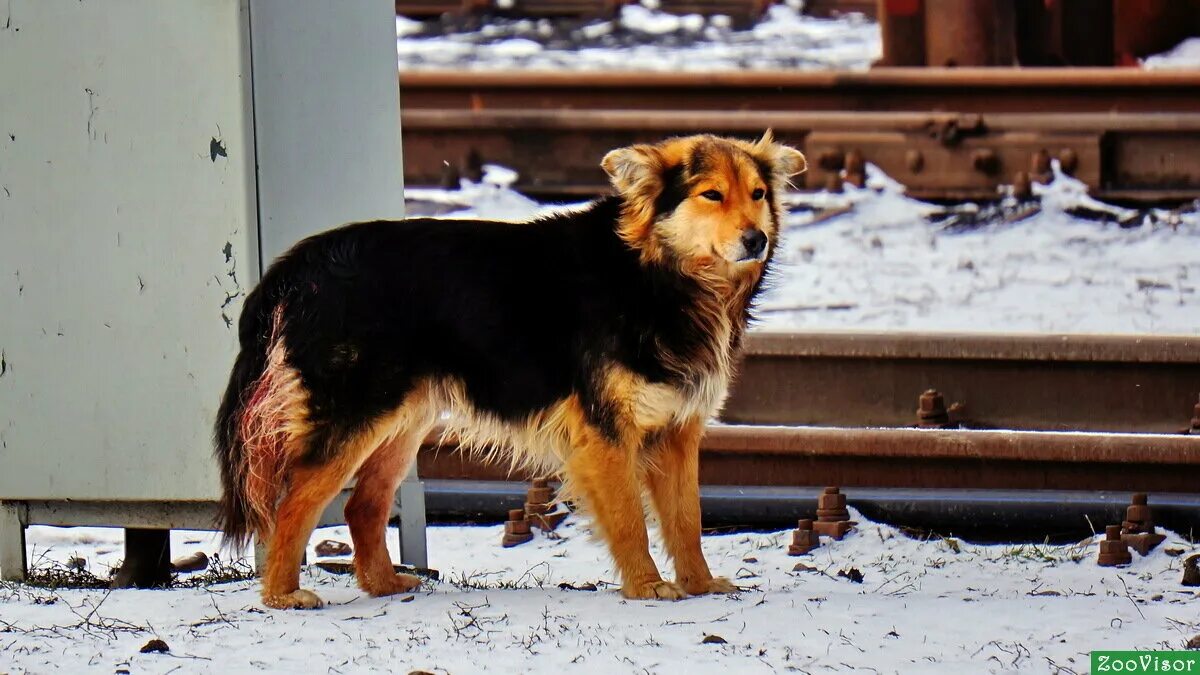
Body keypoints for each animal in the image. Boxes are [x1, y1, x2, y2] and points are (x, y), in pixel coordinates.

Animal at [218, 130, 806, 605]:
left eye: (758, 195)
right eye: (712, 195)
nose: (757, 239)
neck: (655, 274)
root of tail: (300, 265)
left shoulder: (679, 430)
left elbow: (687, 520)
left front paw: (700, 584)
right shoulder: (605, 433)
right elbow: (630, 521)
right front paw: (646, 586)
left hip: (401, 419)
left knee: (363, 505)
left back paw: (383, 585)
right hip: (353, 412)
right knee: (291, 502)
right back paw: (282, 595)